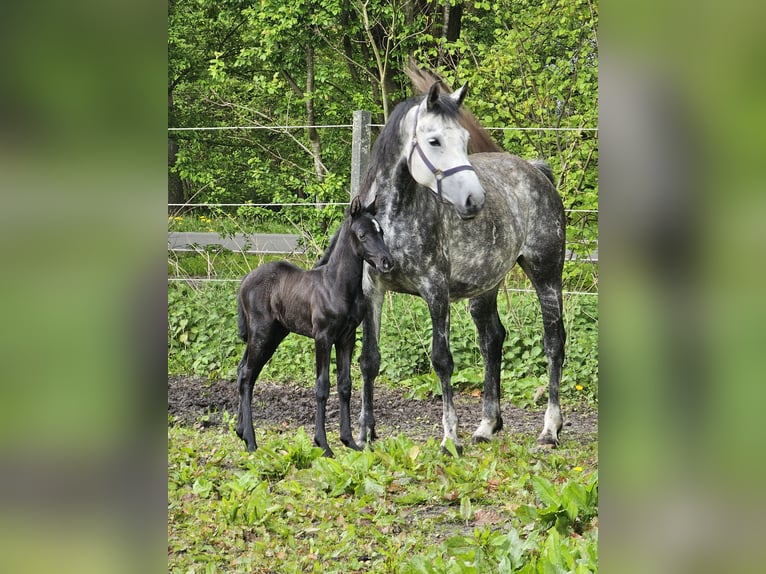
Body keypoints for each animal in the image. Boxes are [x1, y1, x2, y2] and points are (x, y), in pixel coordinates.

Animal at [236, 198, 392, 460]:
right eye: (362, 234)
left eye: (380, 231)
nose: (387, 262)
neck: (337, 286)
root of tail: (245, 280)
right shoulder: (323, 337)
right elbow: (322, 386)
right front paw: (323, 445)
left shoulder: (347, 338)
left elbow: (345, 385)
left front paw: (349, 441)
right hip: (261, 333)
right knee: (247, 375)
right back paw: (251, 441)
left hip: (274, 335)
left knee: (244, 372)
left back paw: (239, 432)